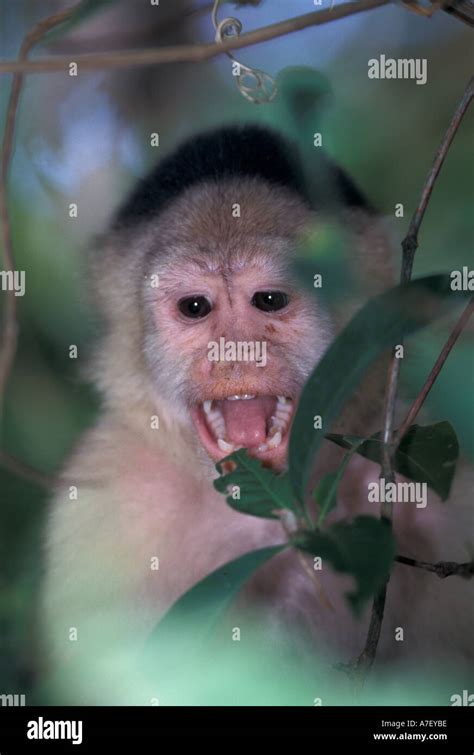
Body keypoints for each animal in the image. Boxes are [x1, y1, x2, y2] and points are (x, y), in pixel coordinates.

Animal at [41, 122, 474, 704]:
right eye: (195, 308)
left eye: (269, 300)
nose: (236, 352)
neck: (278, 511)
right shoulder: (104, 510)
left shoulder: (448, 513)